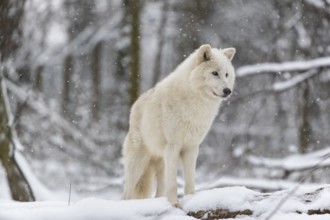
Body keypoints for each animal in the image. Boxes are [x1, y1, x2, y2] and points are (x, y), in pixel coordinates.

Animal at [122, 44, 236, 206]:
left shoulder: (192, 148)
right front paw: (174, 204)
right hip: (138, 164)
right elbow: (174, 183)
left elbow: (190, 181)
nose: (228, 91)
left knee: (159, 191)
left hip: (161, 163)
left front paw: (191, 199)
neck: (196, 103)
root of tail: (135, 104)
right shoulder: (173, 146)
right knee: (126, 194)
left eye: (226, 74)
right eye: (215, 73)